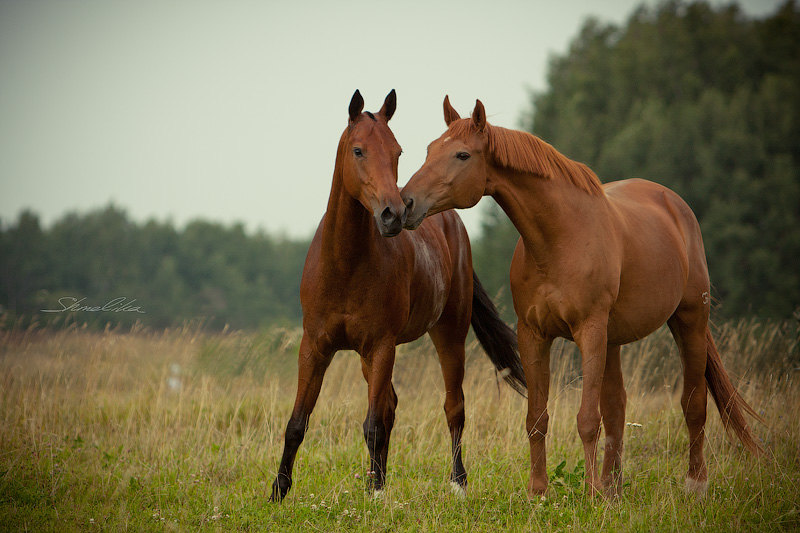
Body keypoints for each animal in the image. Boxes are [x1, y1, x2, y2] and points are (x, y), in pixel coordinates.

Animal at [272, 89, 528, 500]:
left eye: (397, 152)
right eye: (358, 150)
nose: (393, 214)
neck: (344, 265)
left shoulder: (381, 345)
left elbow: (373, 424)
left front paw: (376, 494)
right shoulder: (314, 346)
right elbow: (298, 422)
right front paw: (278, 492)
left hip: (448, 334)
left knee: (453, 407)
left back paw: (457, 483)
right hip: (368, 356)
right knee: (391, 406)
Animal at [400, 96, 764, 498]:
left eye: (462, 154)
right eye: (431, 148)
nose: (406, 203)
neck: (559, 238)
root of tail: (674, 204)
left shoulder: (588, 331)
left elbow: (588, 418)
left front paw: (589, 495)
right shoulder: (533, 334)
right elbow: (537, 417)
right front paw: (539, 492)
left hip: (688, 321)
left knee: (694, 403)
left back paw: (693, 483)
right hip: (614, 339)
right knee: (618, 407)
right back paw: (613, 488)